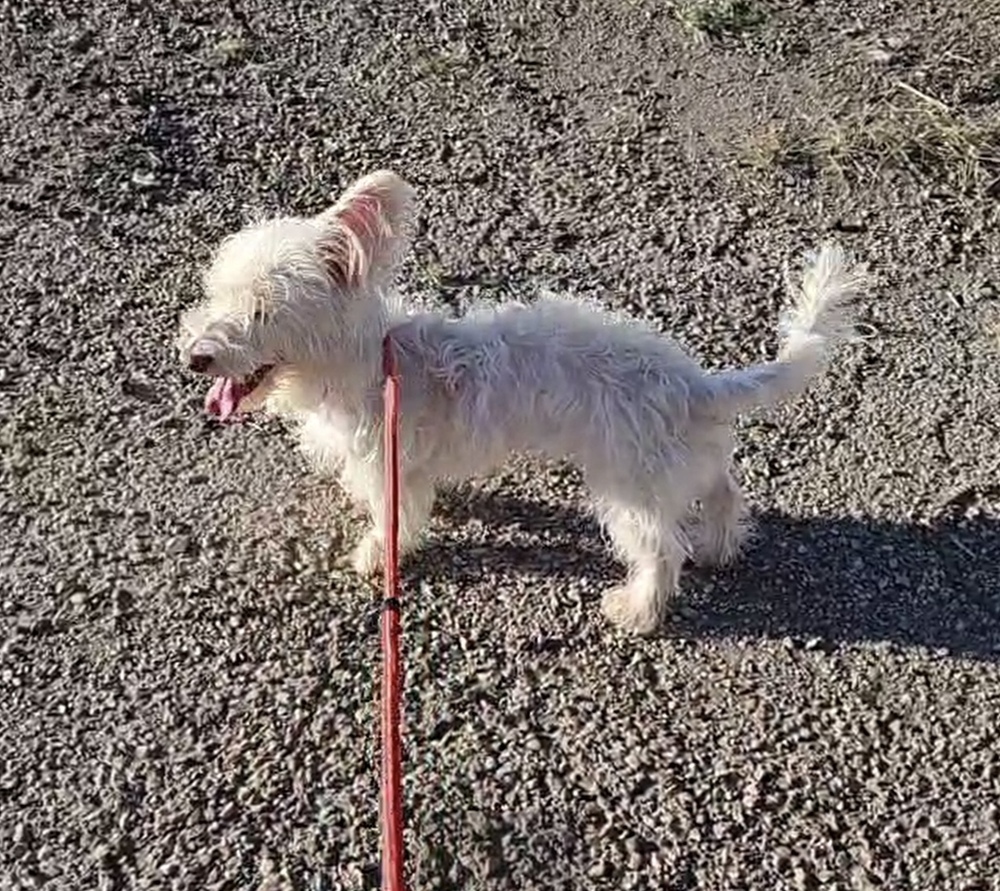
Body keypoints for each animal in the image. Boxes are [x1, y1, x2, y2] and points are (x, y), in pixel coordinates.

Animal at [176, 171, 864, 636]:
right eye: (217, 293)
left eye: (264, 311)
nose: (196, 357)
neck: (374, 363)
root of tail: (693, 383)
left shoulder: (390, 466)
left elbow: (392, 521)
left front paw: (374, 555)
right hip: (684, 461)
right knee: (723, 492)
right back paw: (721, 547)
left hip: (629, 488)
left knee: (661, 551)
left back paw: (635, 610)